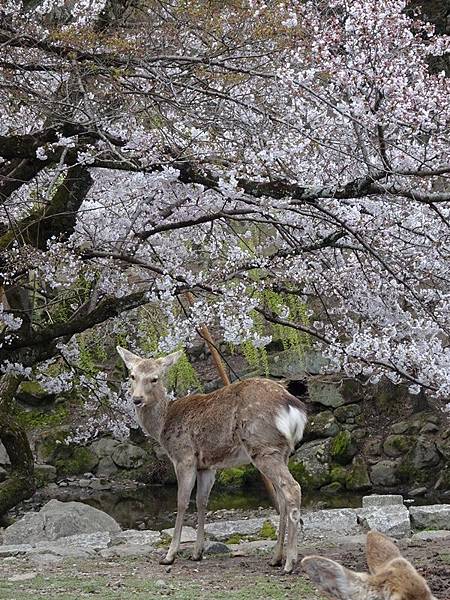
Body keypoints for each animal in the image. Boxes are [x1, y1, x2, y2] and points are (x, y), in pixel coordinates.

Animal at [116, 346, 308, 572]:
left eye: (155, 378)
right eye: (132, 376)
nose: (137, 399)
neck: (163, 426)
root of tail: (293, 408)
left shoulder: (184, 456)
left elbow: (182, 501)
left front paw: (169, 555)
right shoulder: (206, 466)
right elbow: (201, 502)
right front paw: (196, 553)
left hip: (262, 446)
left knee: (292, 488)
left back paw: (290, 562)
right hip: (281, 451)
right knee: (281, 496)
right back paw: (276, 558)